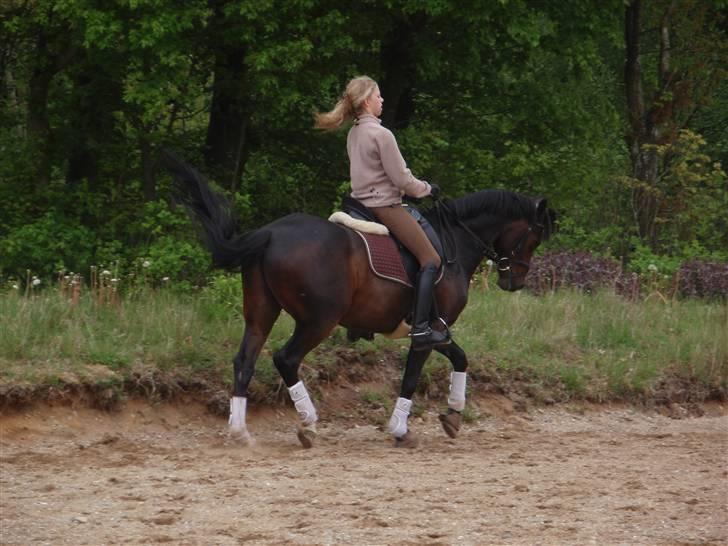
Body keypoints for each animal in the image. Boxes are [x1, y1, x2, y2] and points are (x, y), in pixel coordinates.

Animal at [166, 153, 556, 446]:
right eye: (534, 238)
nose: (515, 280)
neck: (455, 242)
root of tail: (270, 233)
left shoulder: (437, 330)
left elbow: (461, 358)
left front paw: (454, 414)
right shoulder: (428, 331)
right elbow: (411, 377)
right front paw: (400, 429)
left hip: (261, 314)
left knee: (244, 360)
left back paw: (240, 431)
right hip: (318, 321)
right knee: (285, 359)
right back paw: (308, 423)